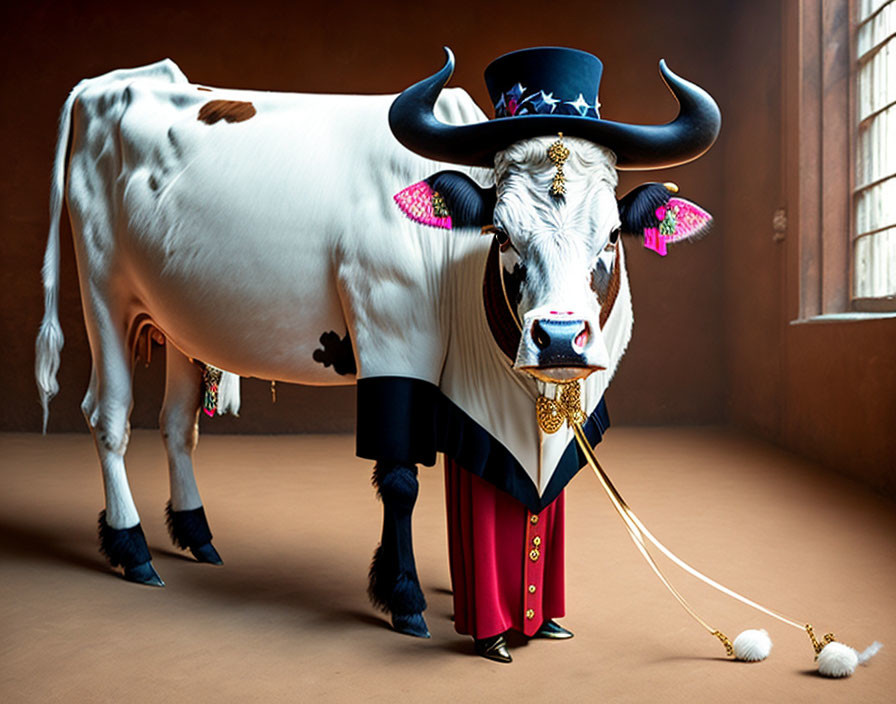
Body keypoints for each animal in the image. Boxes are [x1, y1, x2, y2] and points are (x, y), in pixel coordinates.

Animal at [36, 48, 720, 644]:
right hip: (103, 290)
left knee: (177, 423)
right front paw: (405, 597)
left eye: (612, 234)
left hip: (180, 316)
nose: (557, 338)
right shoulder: (393, 340)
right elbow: (399, 478)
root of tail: (115, 81)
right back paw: (130, 548)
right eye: (501, 232)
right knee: (108, 417)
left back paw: (197, 535)